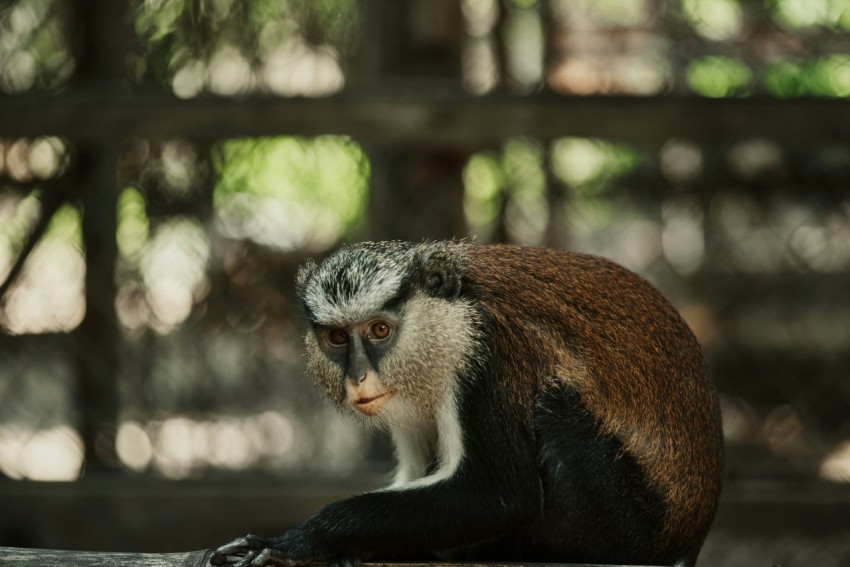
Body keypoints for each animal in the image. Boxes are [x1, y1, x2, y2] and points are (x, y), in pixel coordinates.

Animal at [212, 241, 724, 567]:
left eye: (379, 330)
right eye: (337, 338)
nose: (358, 379)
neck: (452, 315)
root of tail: (689, 537)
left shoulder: (491, 354)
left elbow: (497, 495)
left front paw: (305, 538)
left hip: (625, 528)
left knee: (554, 407)